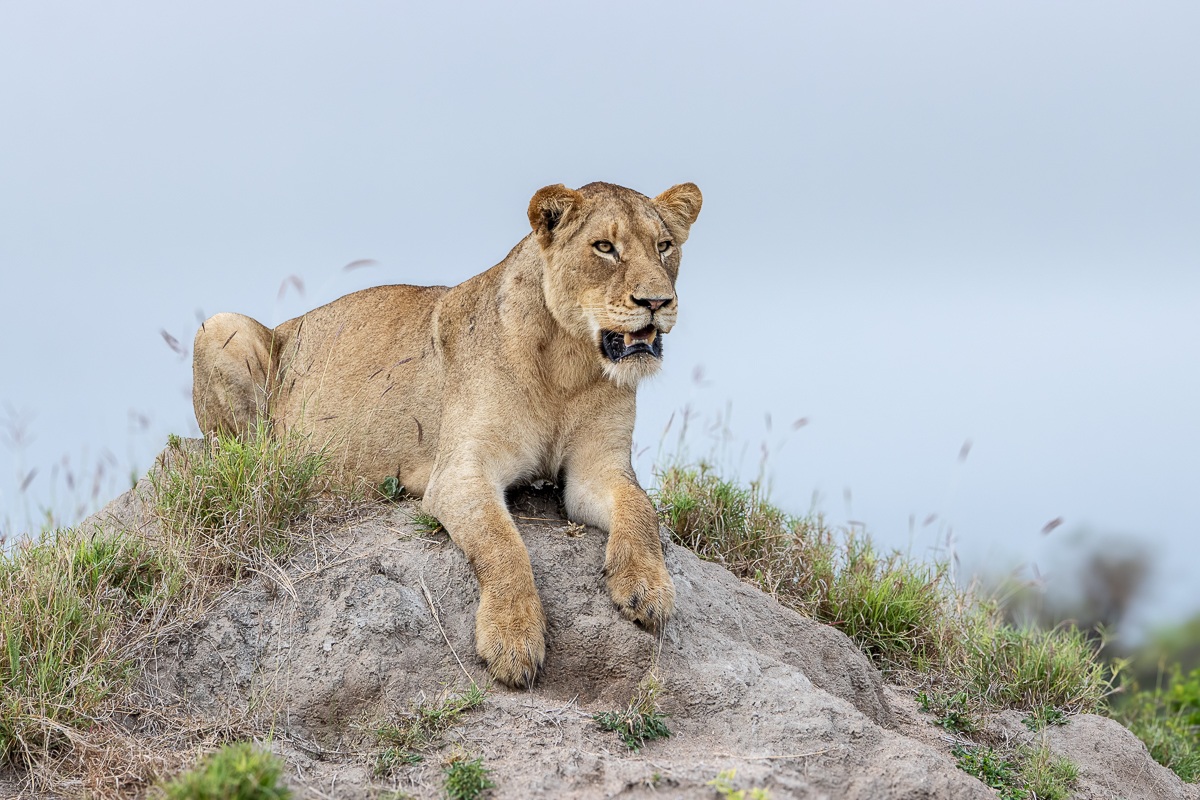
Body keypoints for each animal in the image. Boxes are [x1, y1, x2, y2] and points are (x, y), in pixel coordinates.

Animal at [192, 181, 703, 687]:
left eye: (664, 246)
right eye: (604, 247)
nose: (657, 302)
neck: (569, 364)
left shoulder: (597, 467)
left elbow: (640, 508)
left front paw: (647, 587)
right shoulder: (460, 471)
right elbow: (503, 543)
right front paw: (512, 638)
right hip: (221, 328)